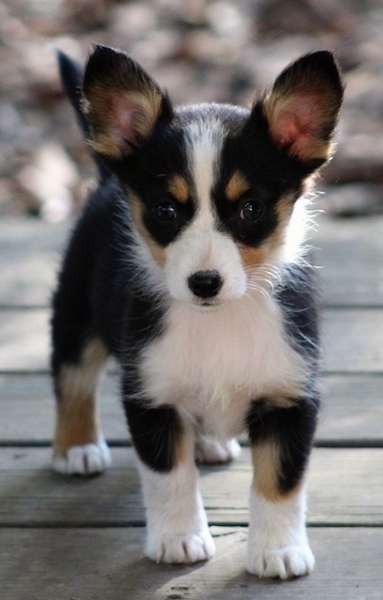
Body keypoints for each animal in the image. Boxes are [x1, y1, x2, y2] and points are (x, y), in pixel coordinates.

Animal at [51, 48, 344, 580]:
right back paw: (77, 447)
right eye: (166, 211)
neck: (219, 318)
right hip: (76, 313)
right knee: (73, 377)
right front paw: (178, 539)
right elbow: (169, 476)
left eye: (250, 209)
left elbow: (280, 481)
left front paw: (277, 550)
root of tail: (106, 177)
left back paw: (210, 443)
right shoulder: (151, 395)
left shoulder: (291, 395)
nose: (204, 282)